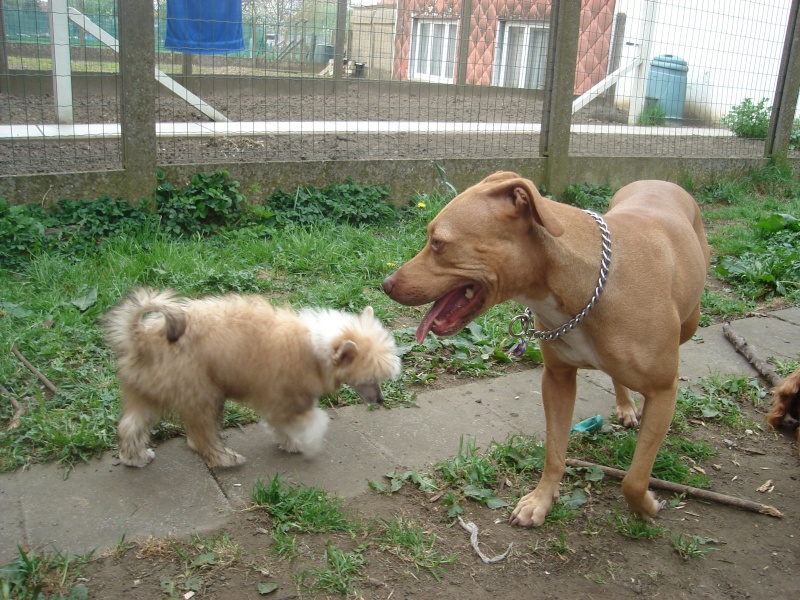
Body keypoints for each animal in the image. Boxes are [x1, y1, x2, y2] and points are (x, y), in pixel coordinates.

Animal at [103, 288, 400, 468]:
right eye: (370, 377)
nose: (381, 400)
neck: (318, 347)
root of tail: (141, 336)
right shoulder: (285, 399)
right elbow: (311, 422)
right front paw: (309, 444)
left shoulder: (284, 402)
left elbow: (286, 426)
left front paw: (291, 443)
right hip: (202, 395)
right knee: (200, 438)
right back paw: (224, 459)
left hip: (150, 393)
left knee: (130, 426)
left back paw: (135, 457)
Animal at [384, 171, 708, 528]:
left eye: (438, 243)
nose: (386, 284)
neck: (587, 285)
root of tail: (660, 181)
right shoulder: (557, 379)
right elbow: (554, 452)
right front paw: (541, 500)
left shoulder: (663, 390)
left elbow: (634, 479)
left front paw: (646, 506)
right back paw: (625, 405)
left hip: (691, 321)